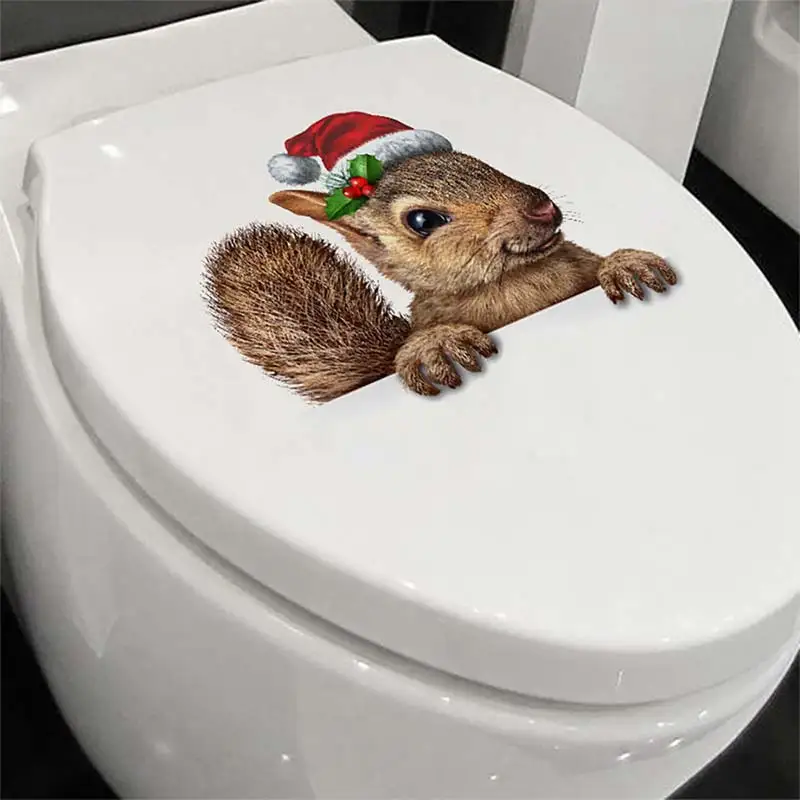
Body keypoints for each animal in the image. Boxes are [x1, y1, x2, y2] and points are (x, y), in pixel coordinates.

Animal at [203, 149, 677, 403]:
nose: (542, 208)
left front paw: (624, 263)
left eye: (480, 162)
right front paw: (438, 345)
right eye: (423, 220)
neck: (515, 282)